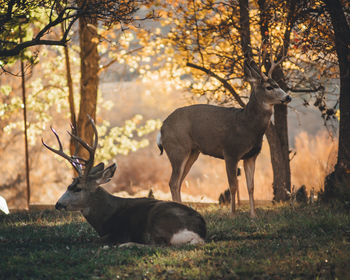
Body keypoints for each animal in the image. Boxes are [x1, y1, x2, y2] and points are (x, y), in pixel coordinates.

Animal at [41, 116, 205, 247]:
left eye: (78, 188)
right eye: (69, 185)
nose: (58, 204)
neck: (105, 217)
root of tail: (200, 234)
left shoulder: (119, 233)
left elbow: (95, 240)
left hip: (159, 220)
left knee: (159, 244)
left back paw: (125, 245)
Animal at [157, 58, 292, 218]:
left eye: (277, 84)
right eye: (269, 87)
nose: (288, 97)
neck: (246, 124)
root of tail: (162, 127)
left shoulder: (251, 156)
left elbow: (251, 186)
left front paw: (253, 215)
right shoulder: (230, 151)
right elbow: (233, 186)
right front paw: (232, 215)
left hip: (193, 152)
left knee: (179, 182)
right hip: (177, 149)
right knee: (173, 182)